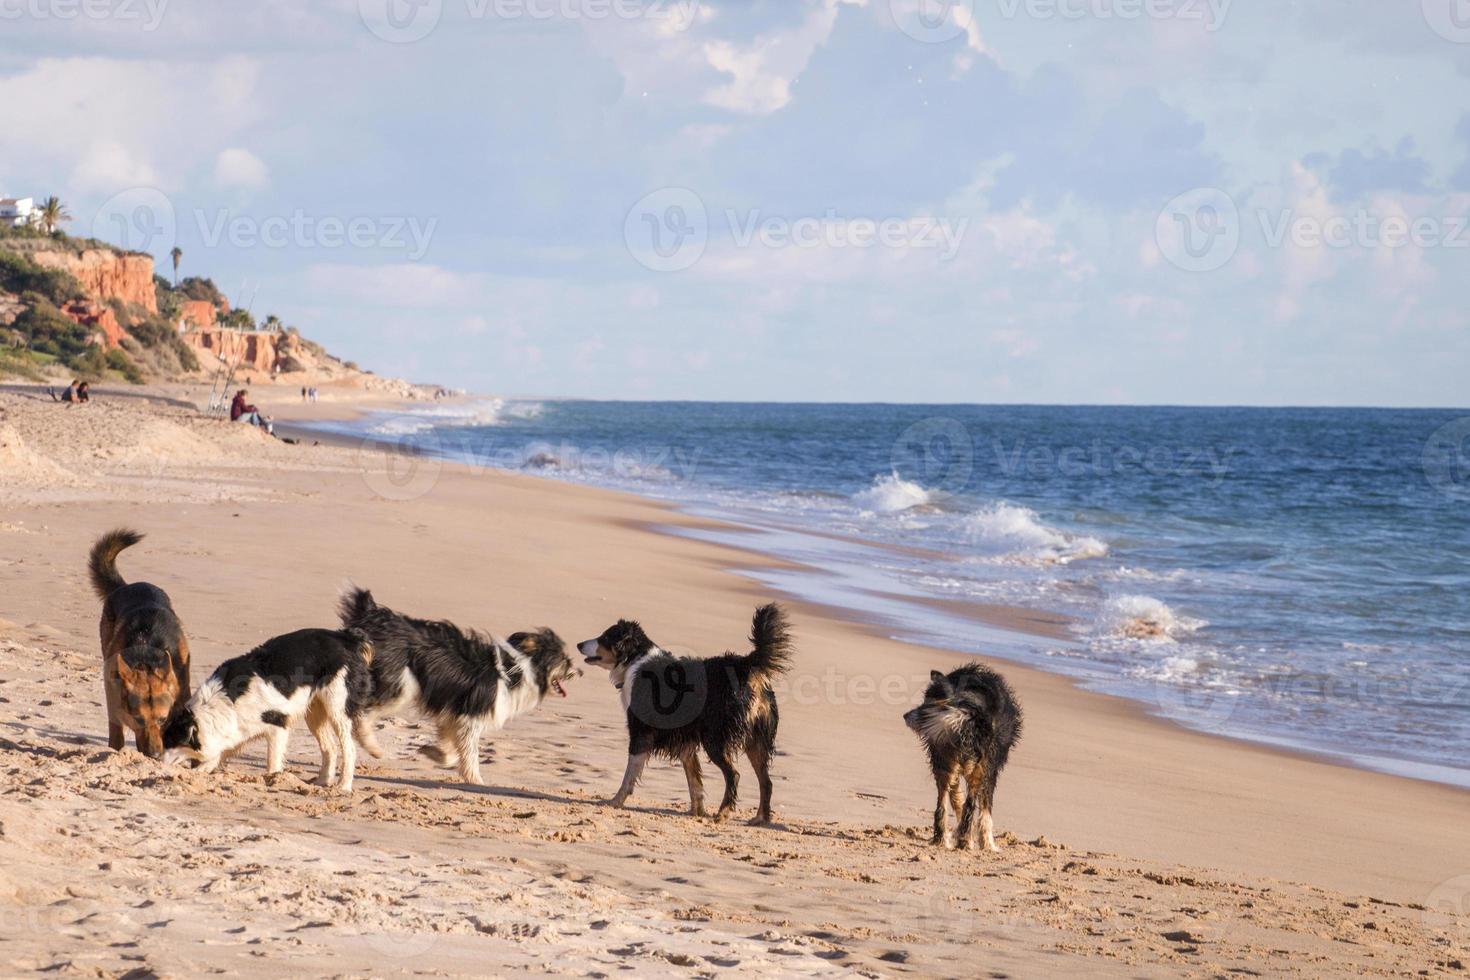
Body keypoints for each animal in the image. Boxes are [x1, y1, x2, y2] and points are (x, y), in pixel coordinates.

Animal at [88, 528, 191, 758]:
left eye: (163, 719)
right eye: (138, 719)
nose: (154, 756)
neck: (145, 654)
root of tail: (129, 586)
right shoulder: (112, 695)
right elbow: (116, 730)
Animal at [162, 631, 373, 793]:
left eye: (171, 741)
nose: (156, 760)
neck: (222, 704)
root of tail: (346, 638)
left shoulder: (277, 725)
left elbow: (272, 760)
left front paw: (273, 780)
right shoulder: (238, 729)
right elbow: (218, 754)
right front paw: (198, 774)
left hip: (337, 707)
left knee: (349, 748)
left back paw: (343, 786)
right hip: (315, 711)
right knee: (330, 747)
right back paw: (322, 782)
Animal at [338, 587, 579, 787]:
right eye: (564, 660)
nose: (581, 672)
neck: (522, 667)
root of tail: (373, 616)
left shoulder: (453, 713)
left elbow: (450, 746)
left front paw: (434, 752)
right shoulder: (471, 717)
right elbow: (470, 752)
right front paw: (476, 781)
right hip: (400, 684)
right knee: (362, 714)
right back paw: (373, 747)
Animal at [579, 602, 799, 822]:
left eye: (604, 638)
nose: (579, 645)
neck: (635, 660)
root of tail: (744, 665)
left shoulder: (640, 734)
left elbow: (628, 776)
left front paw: (614, 802)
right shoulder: (686, 741)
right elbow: (694, 782)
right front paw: (697, 812)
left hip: (716, 739)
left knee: (734, 775)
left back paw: (723, 813)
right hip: (756, 740)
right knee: (766, 781)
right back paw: (760, 819)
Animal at [893, 664, 1023, 852]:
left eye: (926, 702)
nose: (905, 716)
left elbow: (956, 798)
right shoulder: (991, 770)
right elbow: (985, 810)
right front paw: (988, 845)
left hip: (943, 757)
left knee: (941, 804)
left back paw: (942, 839)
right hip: (981, 765)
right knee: (970, 805)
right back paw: (965, 841)